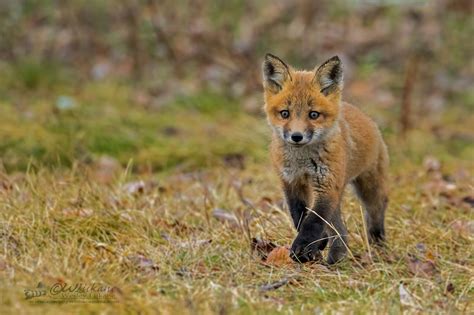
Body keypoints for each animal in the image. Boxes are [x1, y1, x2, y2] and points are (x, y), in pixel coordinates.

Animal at [262, 53, 388, 264]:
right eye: (285, 113)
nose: (297, 136)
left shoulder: (327, 186)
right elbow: (300, 217)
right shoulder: (292, 183)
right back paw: (335, 258)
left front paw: (303, 247)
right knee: (341, 231)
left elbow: (313, 221)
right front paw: (317, 243)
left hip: (368, 187)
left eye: (314, 115)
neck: (302, 162)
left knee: (377, 210)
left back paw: (377, 242)